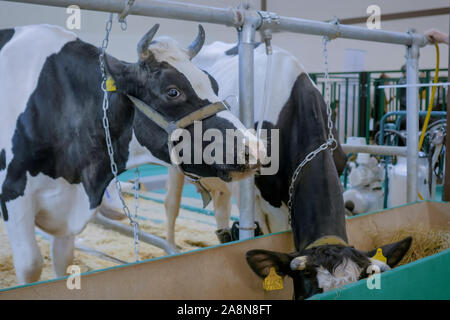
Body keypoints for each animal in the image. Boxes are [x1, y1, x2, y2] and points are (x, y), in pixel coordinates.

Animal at [0, 25, 264, 284]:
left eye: (214, 84)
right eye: (172, 92)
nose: (254, 148)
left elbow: (63, 263)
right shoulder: (14, 194)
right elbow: (31, 264)